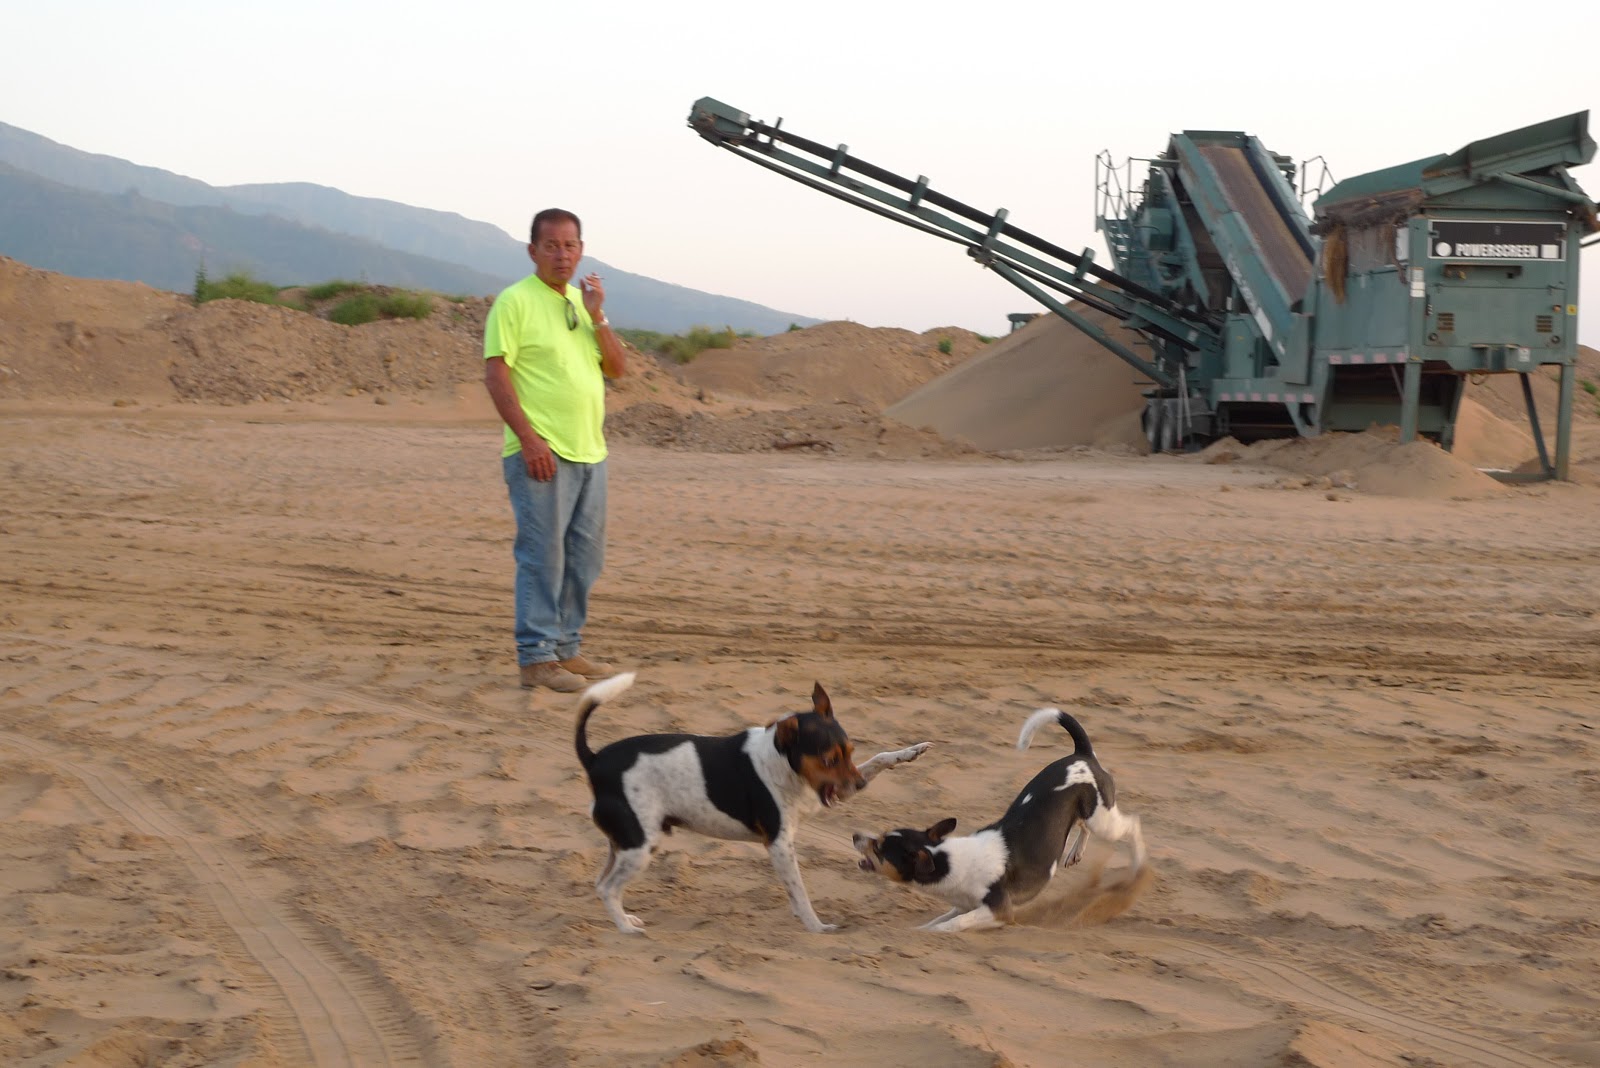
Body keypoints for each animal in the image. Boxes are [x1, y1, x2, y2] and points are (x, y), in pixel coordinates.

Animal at [575, 672, 931, 935]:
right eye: (829, 760)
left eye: (851, 752)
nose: (858, 786)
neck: (781, 760)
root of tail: (595, 760)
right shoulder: (779, 844)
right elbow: (800, 892)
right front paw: (816, 926)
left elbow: (879, 758)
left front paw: (910, 752)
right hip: (640, 846)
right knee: (608, 888)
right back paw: (625, 928)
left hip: (626, 844)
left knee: (600, 883)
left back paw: (625, 918)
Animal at [852, 706, 1145, 932]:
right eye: (880, 837)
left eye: (880, 848)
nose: (855, 836)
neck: (948, 859)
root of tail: (1082, 755)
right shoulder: (964, 906)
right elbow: (939, 920)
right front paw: (918, 930)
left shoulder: (998, 910)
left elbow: (951, 925)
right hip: (1089, 814)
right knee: (1083, 825)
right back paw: (1075, 853)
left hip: (1103, 820)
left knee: (1131, 826)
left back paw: (1138, 865)